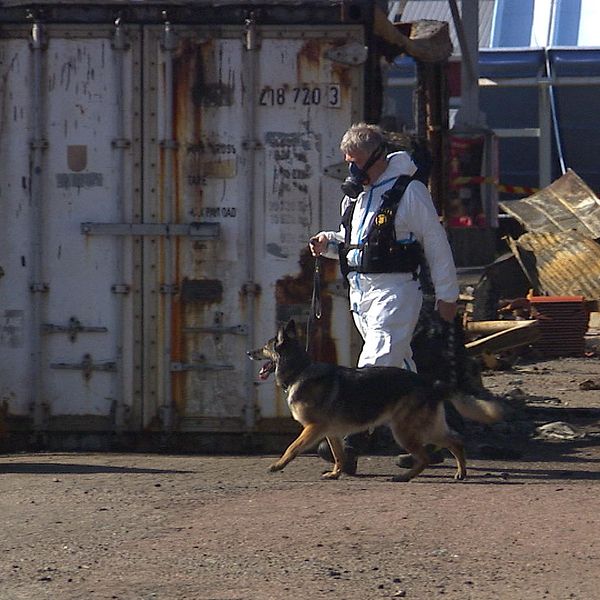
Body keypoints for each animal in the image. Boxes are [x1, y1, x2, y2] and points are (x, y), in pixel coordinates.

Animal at [246, 318, 504, 482]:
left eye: (265, 347)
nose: (248, 352)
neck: (299, 370)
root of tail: (431, 383)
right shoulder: (330, 432)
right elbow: (338, 455)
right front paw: (336, 473)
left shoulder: (313, 428)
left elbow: (292, 447)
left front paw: (278, 465)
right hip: (426, 428)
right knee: (455, 441)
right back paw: (460, 472)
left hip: (404, 430)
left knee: (425, 457)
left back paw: (403, 477)